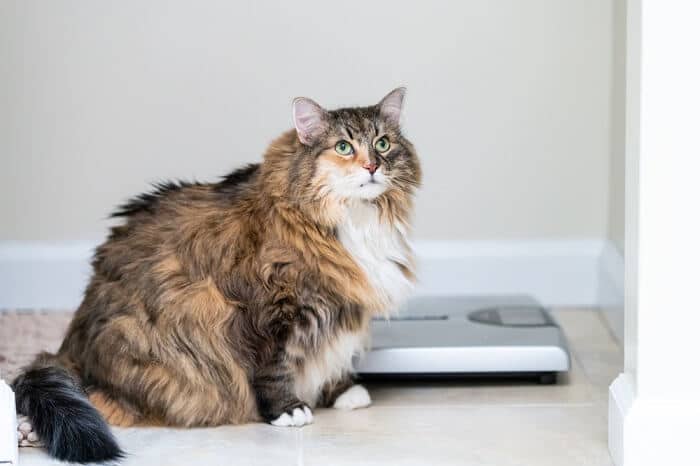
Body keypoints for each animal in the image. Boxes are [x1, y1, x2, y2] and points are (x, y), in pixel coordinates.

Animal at [10, 88, 422, 462]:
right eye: (343, 147)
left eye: (383, 143)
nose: (372, 166)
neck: (354, 218)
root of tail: (69, 347)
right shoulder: (270, 311)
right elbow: (275, 368)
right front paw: (288, 410)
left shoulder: (339, 306)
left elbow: (333, 351)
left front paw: (343, 391)